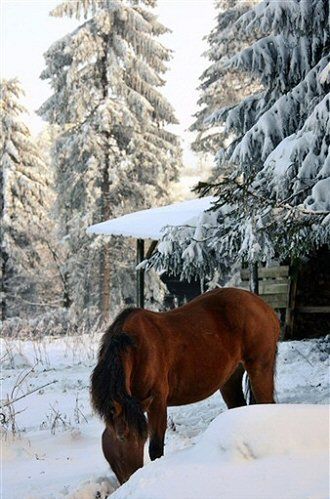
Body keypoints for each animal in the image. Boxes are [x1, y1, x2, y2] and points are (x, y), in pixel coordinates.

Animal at [91, 290, 280, 484]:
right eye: (122, 437)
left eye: (141, 438)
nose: (132, 477)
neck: (136, 349)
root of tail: (263, 306)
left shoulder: (157, 402)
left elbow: (156, 449)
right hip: (231, 378)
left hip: (260, 368)